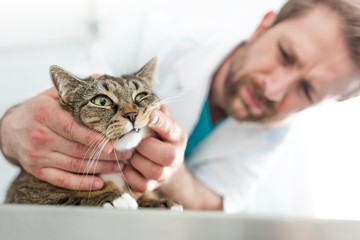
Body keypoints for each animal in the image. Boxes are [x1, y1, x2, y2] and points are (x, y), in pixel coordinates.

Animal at [6, 57, 183, 211]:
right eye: (102, 101)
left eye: (141, 96)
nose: (132, 114)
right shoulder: (25, 195)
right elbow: (66, 200)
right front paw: (113, 199)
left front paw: (162, 202)